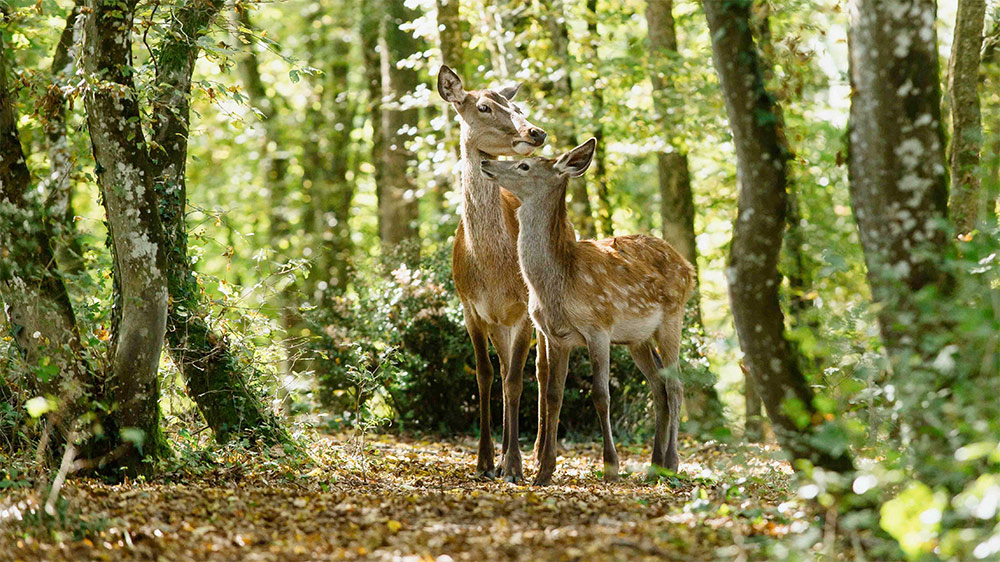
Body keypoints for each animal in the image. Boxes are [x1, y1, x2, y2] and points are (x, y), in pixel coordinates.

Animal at [436, 63, 548, 480]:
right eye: (484, 106)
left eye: (515, 104)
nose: (536, 132)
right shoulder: (469, 307)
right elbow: (485, 376)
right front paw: (484, 460)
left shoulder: (523, 310)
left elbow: (516, 381)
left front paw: (514, 465)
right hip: (498, 324)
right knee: (501, 371)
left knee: (541, 371)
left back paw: (537, 452)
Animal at [482, 138, 696, 484]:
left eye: (524, 165)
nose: (486, 163)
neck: (560, 283)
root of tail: (689, 268)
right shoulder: (555, 336)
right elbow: (553, 394)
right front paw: (544, 471)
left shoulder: (599, 327)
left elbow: (600, 394)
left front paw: (610, 466)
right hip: (637, 339)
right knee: (658, 386)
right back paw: (654, 466)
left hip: (673, 317)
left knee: (675, 385)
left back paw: (673, 463)